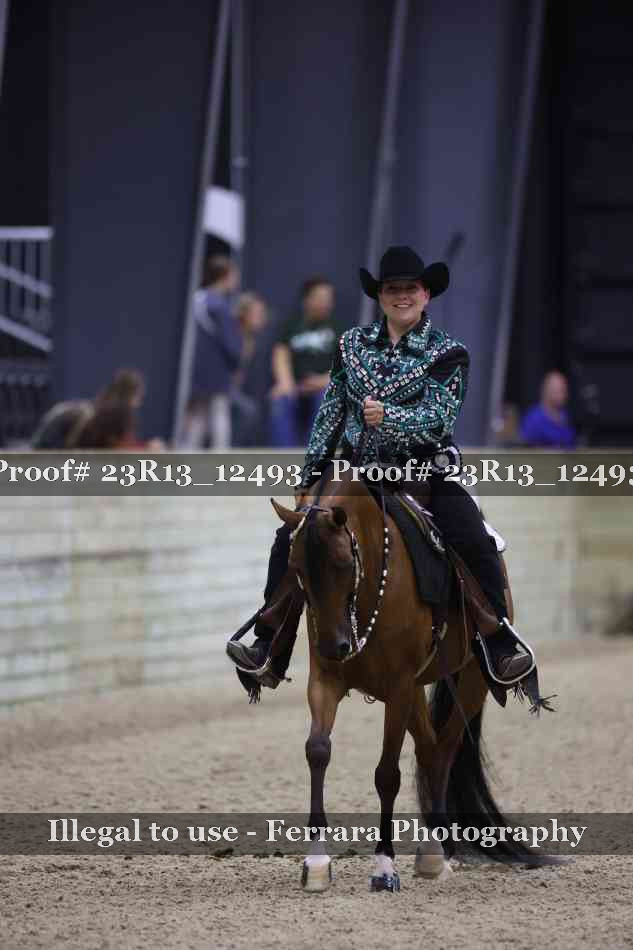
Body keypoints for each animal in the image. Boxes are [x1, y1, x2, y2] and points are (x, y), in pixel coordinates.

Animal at [271, 465, 539, 893]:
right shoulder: (326, 680)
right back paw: (435, 851)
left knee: (444, 749)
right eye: (296, 569)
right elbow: (318, 751)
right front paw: (316, 863)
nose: (335, 645)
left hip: (470, 681)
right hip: (416, 691)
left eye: (343, 563)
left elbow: (387, 775)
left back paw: (434, 853)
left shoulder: (397, 687)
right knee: (430, 747)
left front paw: (384, 868)